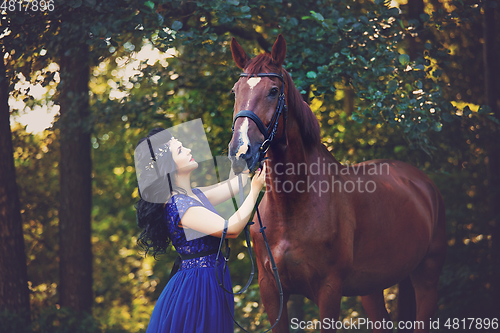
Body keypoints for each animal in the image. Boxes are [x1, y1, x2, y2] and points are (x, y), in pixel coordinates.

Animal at [229, 35, 448, 330]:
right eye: (235, 91)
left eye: (273, 91)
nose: (241, 152)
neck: (293, 205)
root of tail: (423, 184)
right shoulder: (271, 292)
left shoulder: (329, 290)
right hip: (372, 287)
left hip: (427, 276)